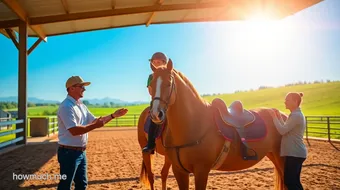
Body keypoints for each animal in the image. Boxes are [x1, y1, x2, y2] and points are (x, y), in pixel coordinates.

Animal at [147, 59, 288, 190]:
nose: (156, 114)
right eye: (151, 85)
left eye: (168, 83)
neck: (195, 124)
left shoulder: (201, 171)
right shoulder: (179, 171)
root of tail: (282, 115)